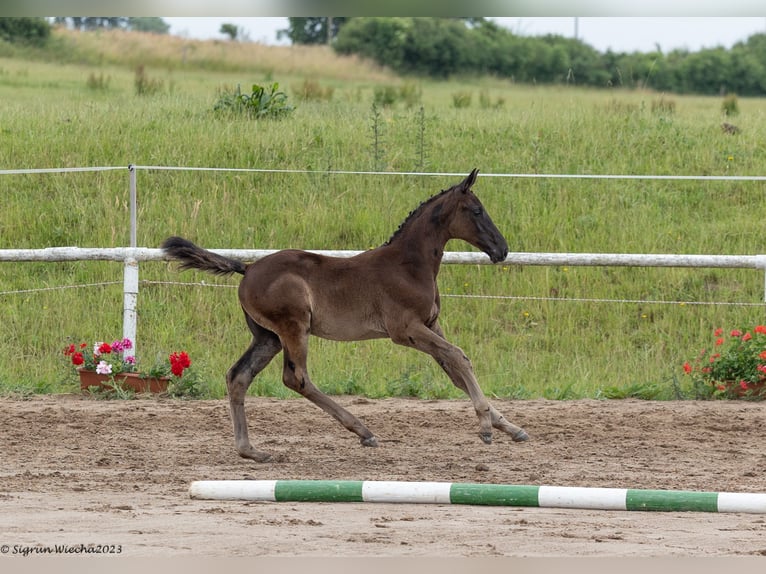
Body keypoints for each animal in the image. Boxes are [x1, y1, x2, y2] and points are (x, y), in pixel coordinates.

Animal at [164, 170, 528, 464]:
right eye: (477, 210)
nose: (502, 250)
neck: (409, 265)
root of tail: (248, 268)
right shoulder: (405, 330)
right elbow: (459, 357)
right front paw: (485, 426)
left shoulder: (430, 325)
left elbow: (455, 370)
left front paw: (511, 428)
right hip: (293, 327)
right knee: (296, 378)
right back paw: (363, 431)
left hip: (267, 337)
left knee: (238, 376)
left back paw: (251, 450)